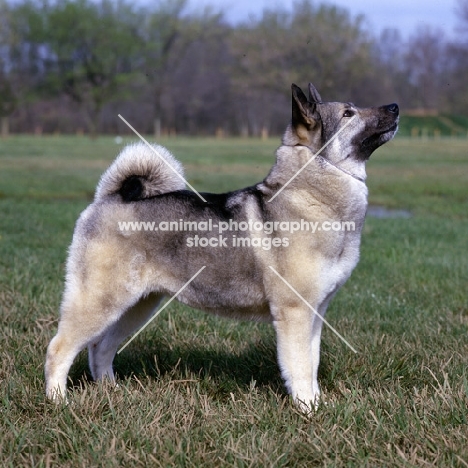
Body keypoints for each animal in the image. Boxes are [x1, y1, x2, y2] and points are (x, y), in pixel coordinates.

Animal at [45, 83, 398, 410]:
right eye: (348, 113)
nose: (394, 106)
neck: (309, 195)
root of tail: (110, 198)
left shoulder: (316, 313)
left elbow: (312, 364)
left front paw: (318, 405)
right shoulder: (295, 312)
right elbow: (300, 367)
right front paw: (308, 410)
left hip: (137, 305)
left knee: (100, 348)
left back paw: (112, 391)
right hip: (99, 301)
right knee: (59, 348)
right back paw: (57, 401)